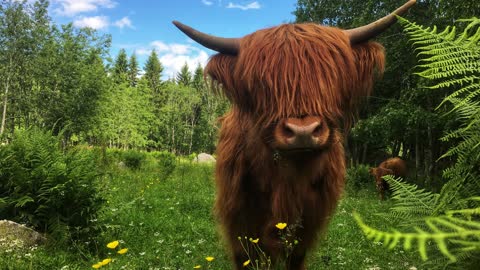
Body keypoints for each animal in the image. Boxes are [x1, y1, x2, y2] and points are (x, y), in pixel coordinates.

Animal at [173, 1, 416, 268]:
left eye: (330, 77)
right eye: (261, 83)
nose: (303, 132)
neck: (287, 180)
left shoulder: (309, 224)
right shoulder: (238, 219)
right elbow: (246, 257)